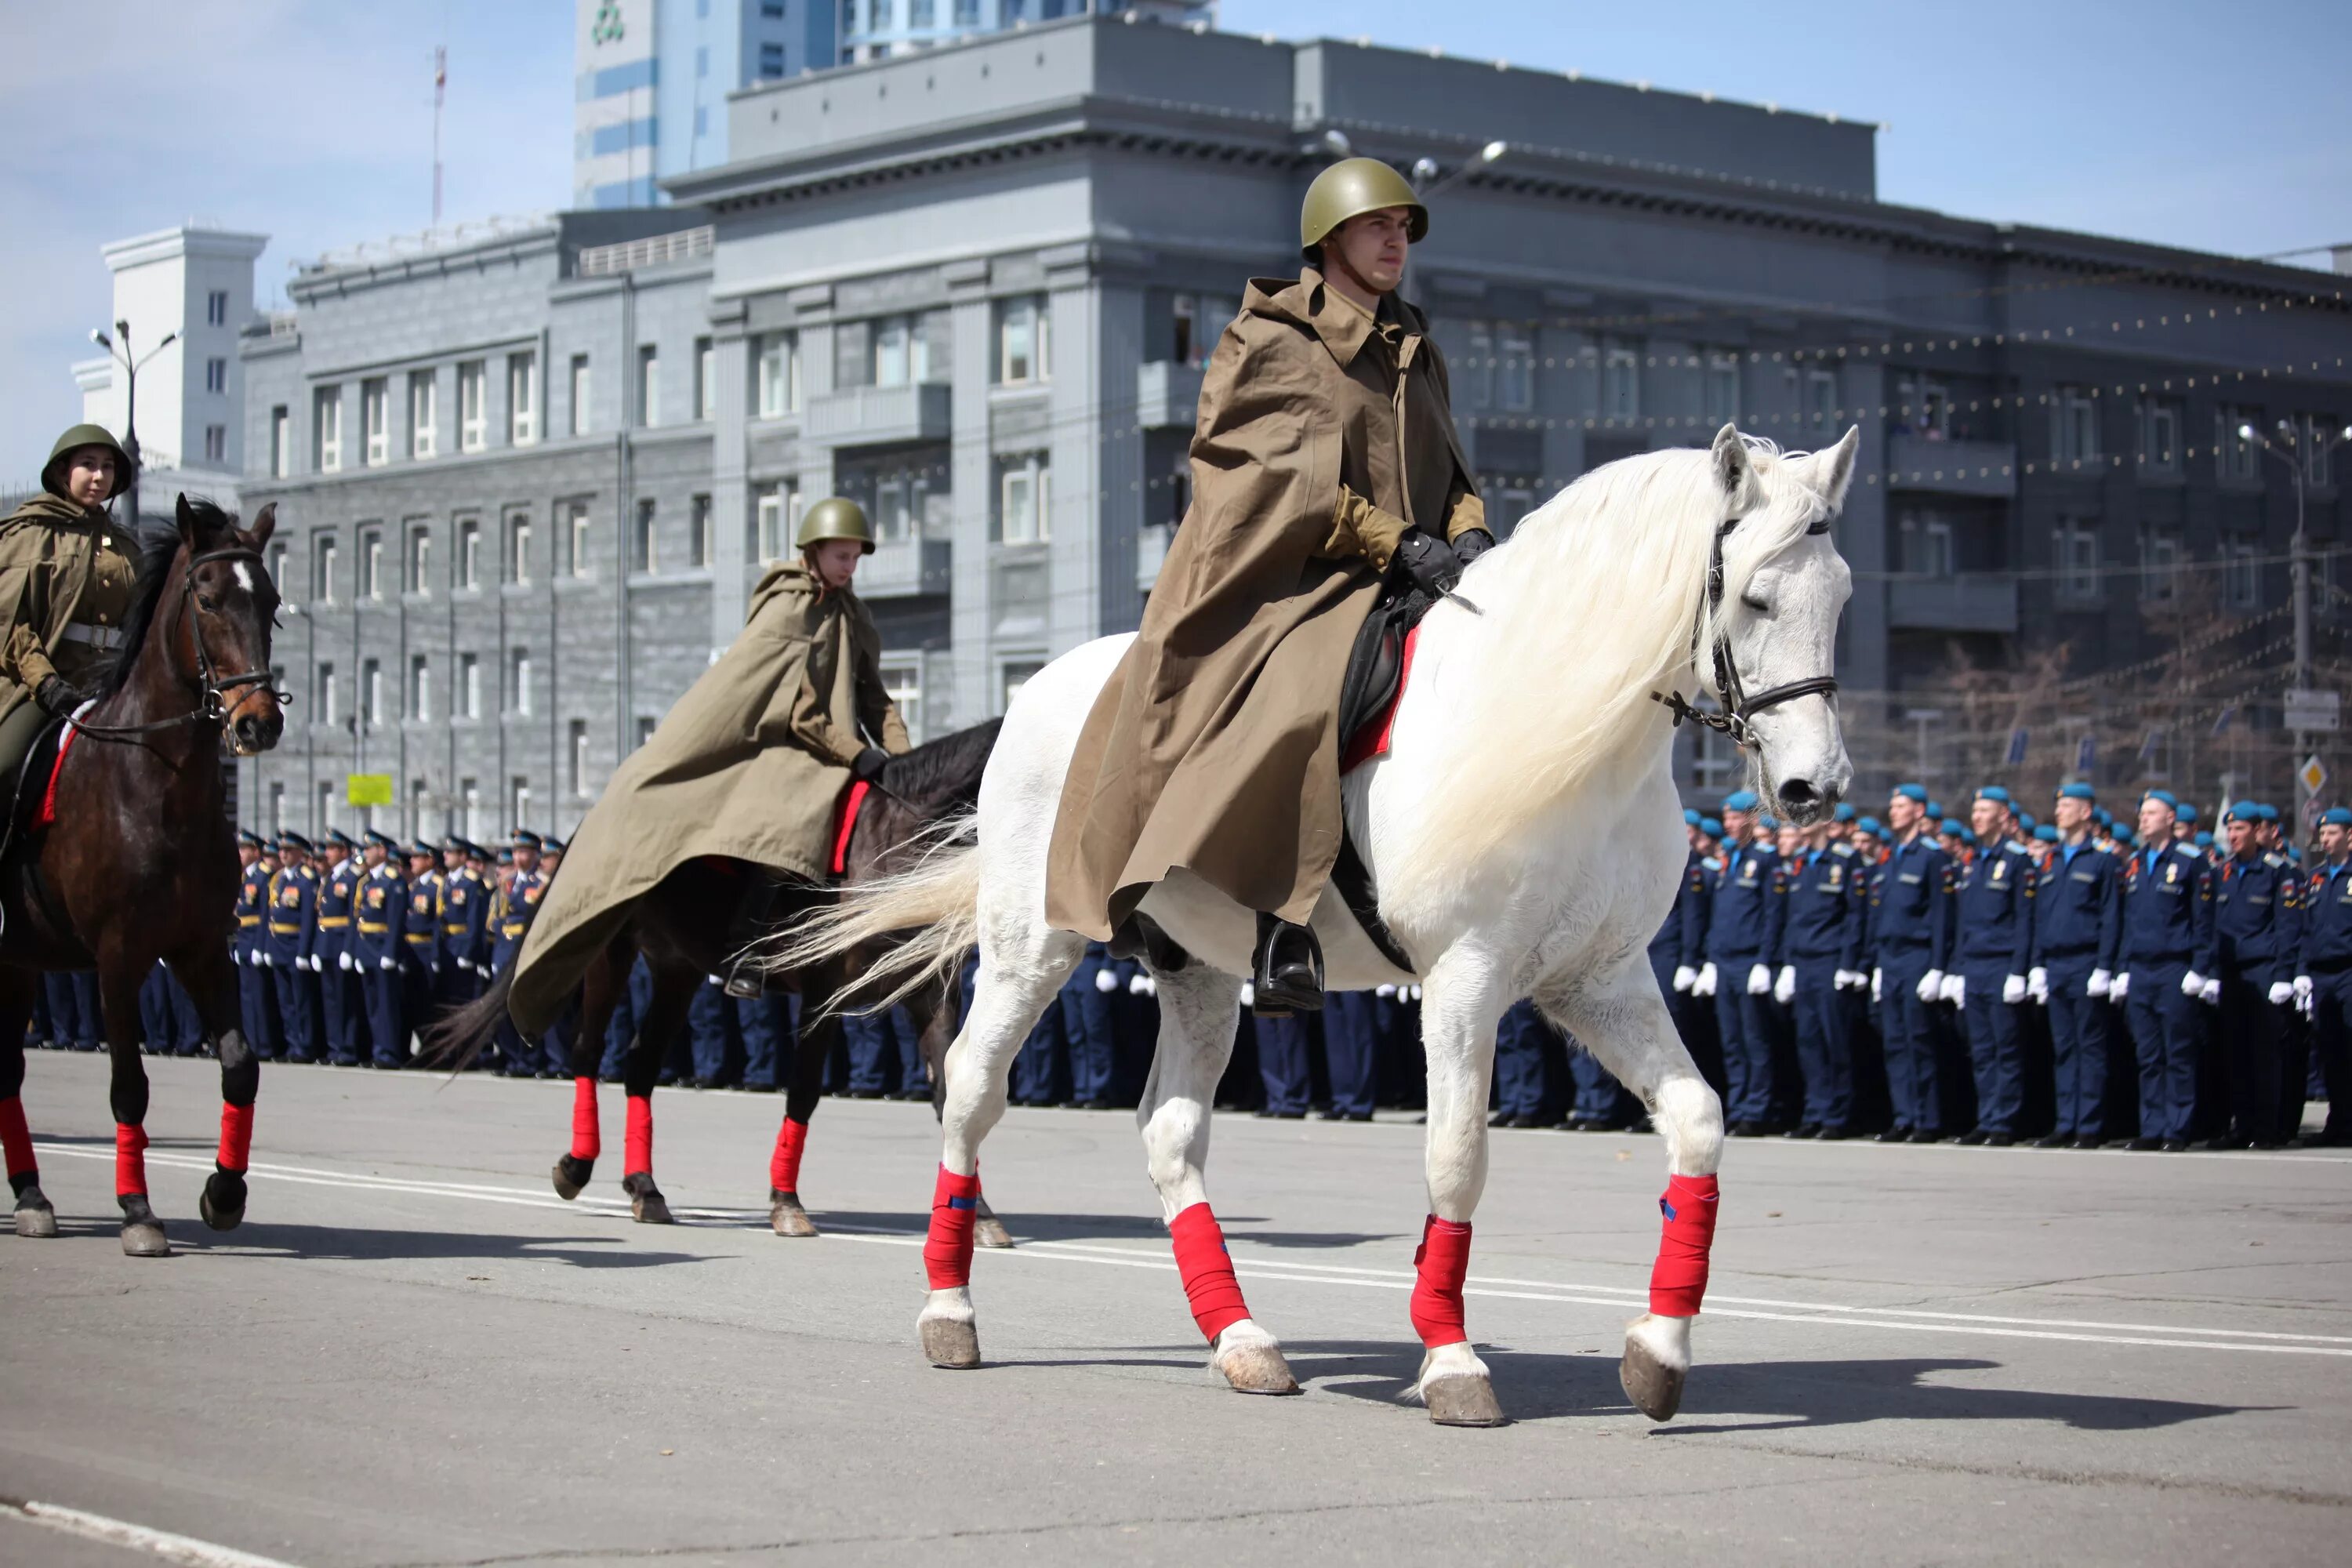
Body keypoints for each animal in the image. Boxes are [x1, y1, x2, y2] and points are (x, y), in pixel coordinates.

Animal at [2, 495, 285, 1260]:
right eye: (207, 599)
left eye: (271, 602)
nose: (259, 723)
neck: (155, 786)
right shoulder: (118, 956)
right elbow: (129, 1084)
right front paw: (137, 1210)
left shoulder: (201, 947)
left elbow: (241, 1065)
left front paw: (224, 1192)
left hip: (24, 961)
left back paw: (33, 1197)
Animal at [426, 719, 1011, 1241]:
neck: (894, 840)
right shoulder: (821, 992)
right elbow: (803, 1090)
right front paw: (786, 1203)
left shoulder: (932, 993)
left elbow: (955, 1095)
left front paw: (977, 1214)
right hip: (609, 951)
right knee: (588, 1050)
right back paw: (576, 1166)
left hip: (676, 968)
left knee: (640, 1063)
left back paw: (645, 1188)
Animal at [781, 423, 1863, 1429]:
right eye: (1755, 599)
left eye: (1843, 596)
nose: (1817, 788)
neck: (1557, 726)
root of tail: (1041, 689)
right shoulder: (1466, 980)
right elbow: (1457, 1158)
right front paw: (1453, 1359)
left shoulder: (1601, 980)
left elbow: (1699, 1123)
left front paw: (1659, 1348)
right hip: (1029, 945)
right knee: (970, 1088)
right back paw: (950, 1308)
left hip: (1197, 969)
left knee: (1170, 1131)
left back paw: (1240, 1338)